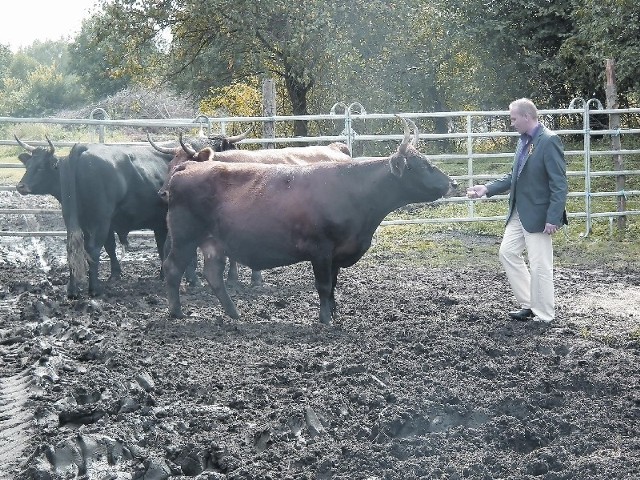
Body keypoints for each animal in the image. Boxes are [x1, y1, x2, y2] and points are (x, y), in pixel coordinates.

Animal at [162, 118, 458, 324]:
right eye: (419, 166)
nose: (452, 183)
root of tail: (188, 167)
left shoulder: (337, 253)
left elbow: (333, 286)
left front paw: (334, 314)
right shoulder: (321, 250)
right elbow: (324, 286)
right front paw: (326, 319)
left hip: (214, 243)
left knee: (213, 275)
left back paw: (234, 314)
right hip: (185, 238)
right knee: (173, 269)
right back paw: (177, 312)